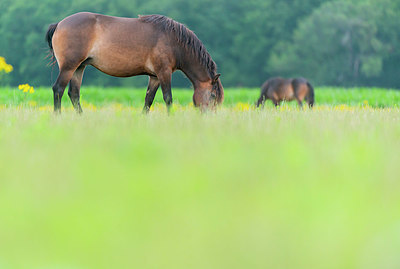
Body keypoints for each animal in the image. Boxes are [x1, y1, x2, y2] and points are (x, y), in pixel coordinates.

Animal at [46, 12, 225, 112]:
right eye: (213, 95)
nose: (209, 118)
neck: (174, 41)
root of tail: (59, 24)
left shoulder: (154, 76)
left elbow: (148, 100)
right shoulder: (164, 72)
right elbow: (168, 98)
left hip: (79, 67)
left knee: (74, 94)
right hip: (69, 67)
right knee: (58, 89)